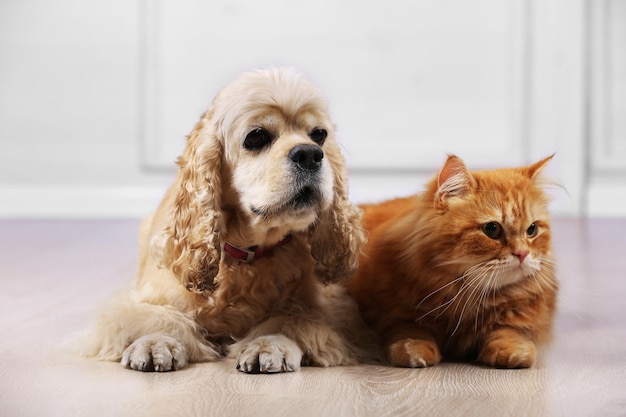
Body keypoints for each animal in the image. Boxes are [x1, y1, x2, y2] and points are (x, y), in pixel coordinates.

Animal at [80, 69, 368, 374]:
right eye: (256, 137)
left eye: (319, 135)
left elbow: (293, 319)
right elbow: (155, 316)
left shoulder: (328, 308)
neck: (246, 257)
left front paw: (268, 344)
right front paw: (156, 341)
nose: (310, 154)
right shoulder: (146, 298)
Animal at [346, 155, 556, 368]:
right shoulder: (386, 312)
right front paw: (414, 351)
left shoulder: (520, 315)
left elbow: (508, 331)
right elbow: (409, 329)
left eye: (532, 230)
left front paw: (514, 352)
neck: (465, 297)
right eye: (492, 229)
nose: (522, 253)